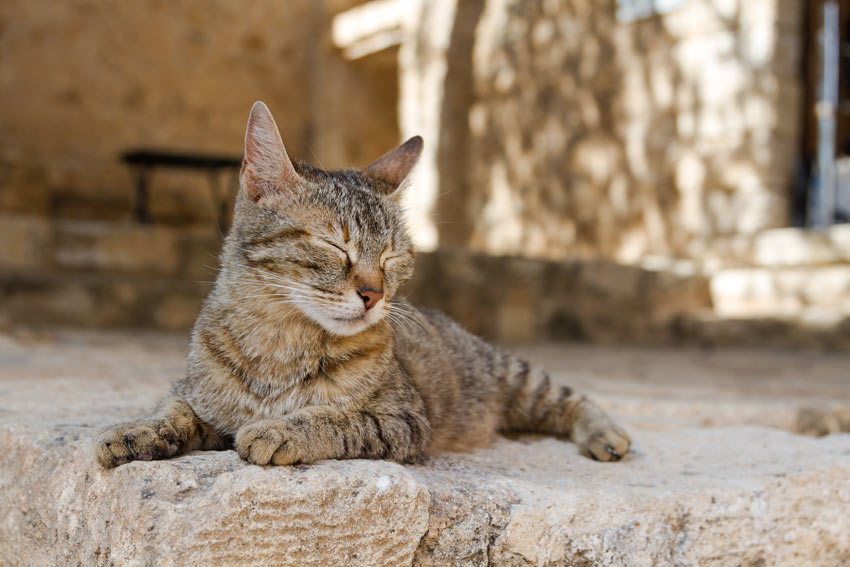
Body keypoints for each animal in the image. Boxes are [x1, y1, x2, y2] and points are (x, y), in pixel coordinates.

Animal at [93, 102, 628, 470]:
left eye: (392, 257)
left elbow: (339, 419)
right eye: (335, 246)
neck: (280, 342)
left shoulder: (404, 420)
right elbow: (174, 410)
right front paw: (134, 431)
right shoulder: (194, 393)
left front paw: (280, 430)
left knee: (570, 398)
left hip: (512, 375)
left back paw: (606, 434)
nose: (374, 295)